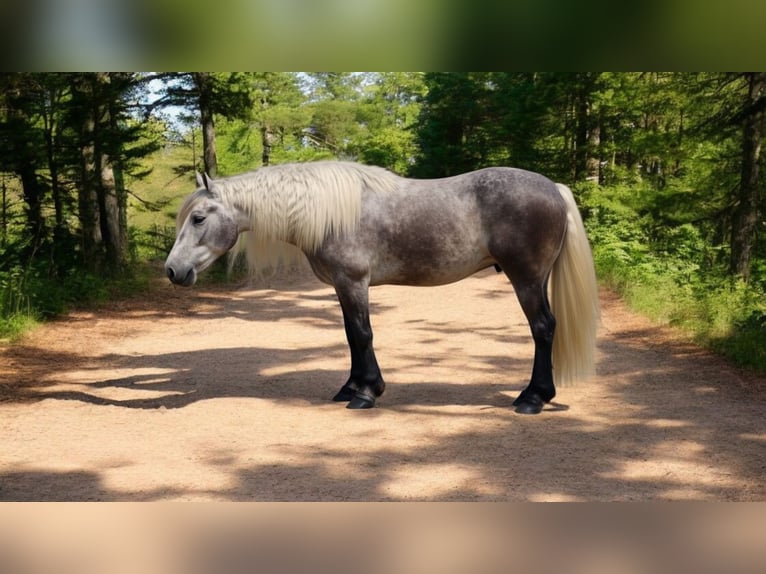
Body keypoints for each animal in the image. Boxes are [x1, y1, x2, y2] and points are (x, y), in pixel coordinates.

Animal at [164, 161, 599, 414]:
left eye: (199, 218)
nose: (172, 271)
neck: (329, 213)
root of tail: (554, 188)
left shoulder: (354, 282)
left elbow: (362, 334)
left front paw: (366, 393)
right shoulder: (342, 286)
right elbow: (350, 336)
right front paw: (351, 387)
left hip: (526, 279)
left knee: (543, 328)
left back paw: (533, 398)